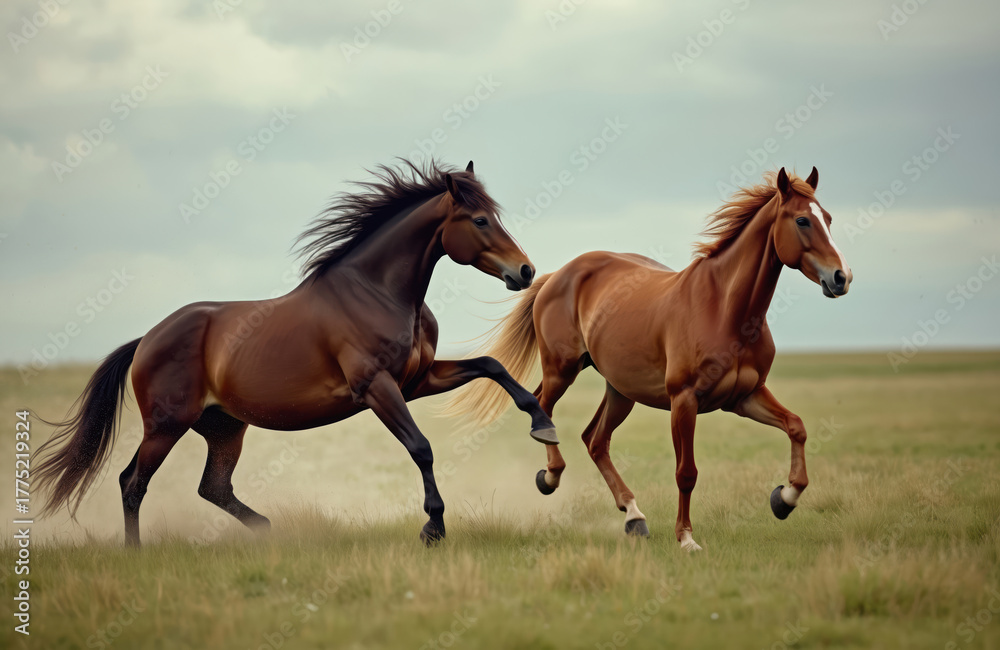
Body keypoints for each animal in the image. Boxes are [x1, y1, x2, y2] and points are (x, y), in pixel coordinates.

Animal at [33, 159, 559, 548]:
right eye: (480, 220)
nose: (525, 271)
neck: (378, 292)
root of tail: (146, 339)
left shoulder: (418, 380)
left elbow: (492, 367)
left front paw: (543, 428)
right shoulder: (378, 388)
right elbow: (421, 447)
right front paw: (434, 528)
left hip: (225, 427)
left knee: (212, 487)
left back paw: (268, 531)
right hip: (166, 424)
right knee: (132, 483)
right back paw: (137, 552)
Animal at [446, 168, 852, 552]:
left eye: (829, 218)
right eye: (802, 221)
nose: (841, 277)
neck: (726, 309)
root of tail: (555, 276)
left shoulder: (744, 397)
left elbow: (797, 427)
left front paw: (784, 499)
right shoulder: (684, 401)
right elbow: (686, 472)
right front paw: (686, 539)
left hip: (620, 390)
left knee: (595, 440)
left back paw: (634, 516)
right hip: (563, 370)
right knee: (542, 407)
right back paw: (550, 477)